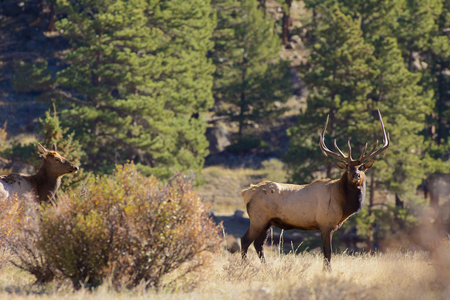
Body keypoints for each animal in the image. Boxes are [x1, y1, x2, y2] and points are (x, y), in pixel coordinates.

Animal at [241, 110, 388, 270]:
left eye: (361, 167)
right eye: (348, 167)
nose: (356, 175)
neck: (343, 203)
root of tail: (246, 192)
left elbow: (326, 253)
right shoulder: (325, 224)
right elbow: (328, 252)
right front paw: (327, 271)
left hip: (267, 222)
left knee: (258, 244)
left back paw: (266, 267)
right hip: (258, 218)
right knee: (245, 241)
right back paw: (246, 266)